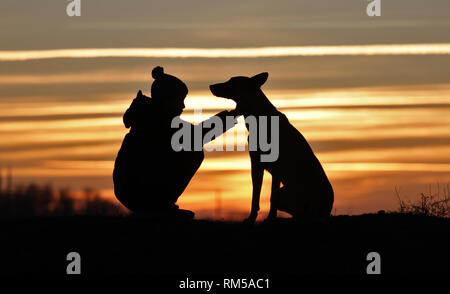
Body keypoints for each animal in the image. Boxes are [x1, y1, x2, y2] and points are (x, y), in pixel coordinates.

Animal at [209, 73, 332, 223]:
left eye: (232, 82)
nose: (211, 86)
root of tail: (327, 208)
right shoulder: (261, 166)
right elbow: (258, 196)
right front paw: (260, 217)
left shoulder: (264, 167)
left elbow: (261, 197)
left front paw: (261, 218)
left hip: (285, 194)